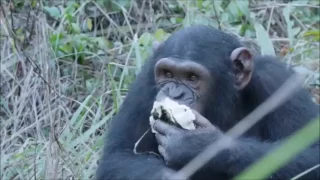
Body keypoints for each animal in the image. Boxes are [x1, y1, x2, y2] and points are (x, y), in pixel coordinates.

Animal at [95, 25, 320, 180]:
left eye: (192, 77)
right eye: (167, 74)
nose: (174, 93)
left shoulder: (278, 82)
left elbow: (312, 154)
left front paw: (198, 146)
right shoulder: (143, 83)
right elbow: (118, 157)